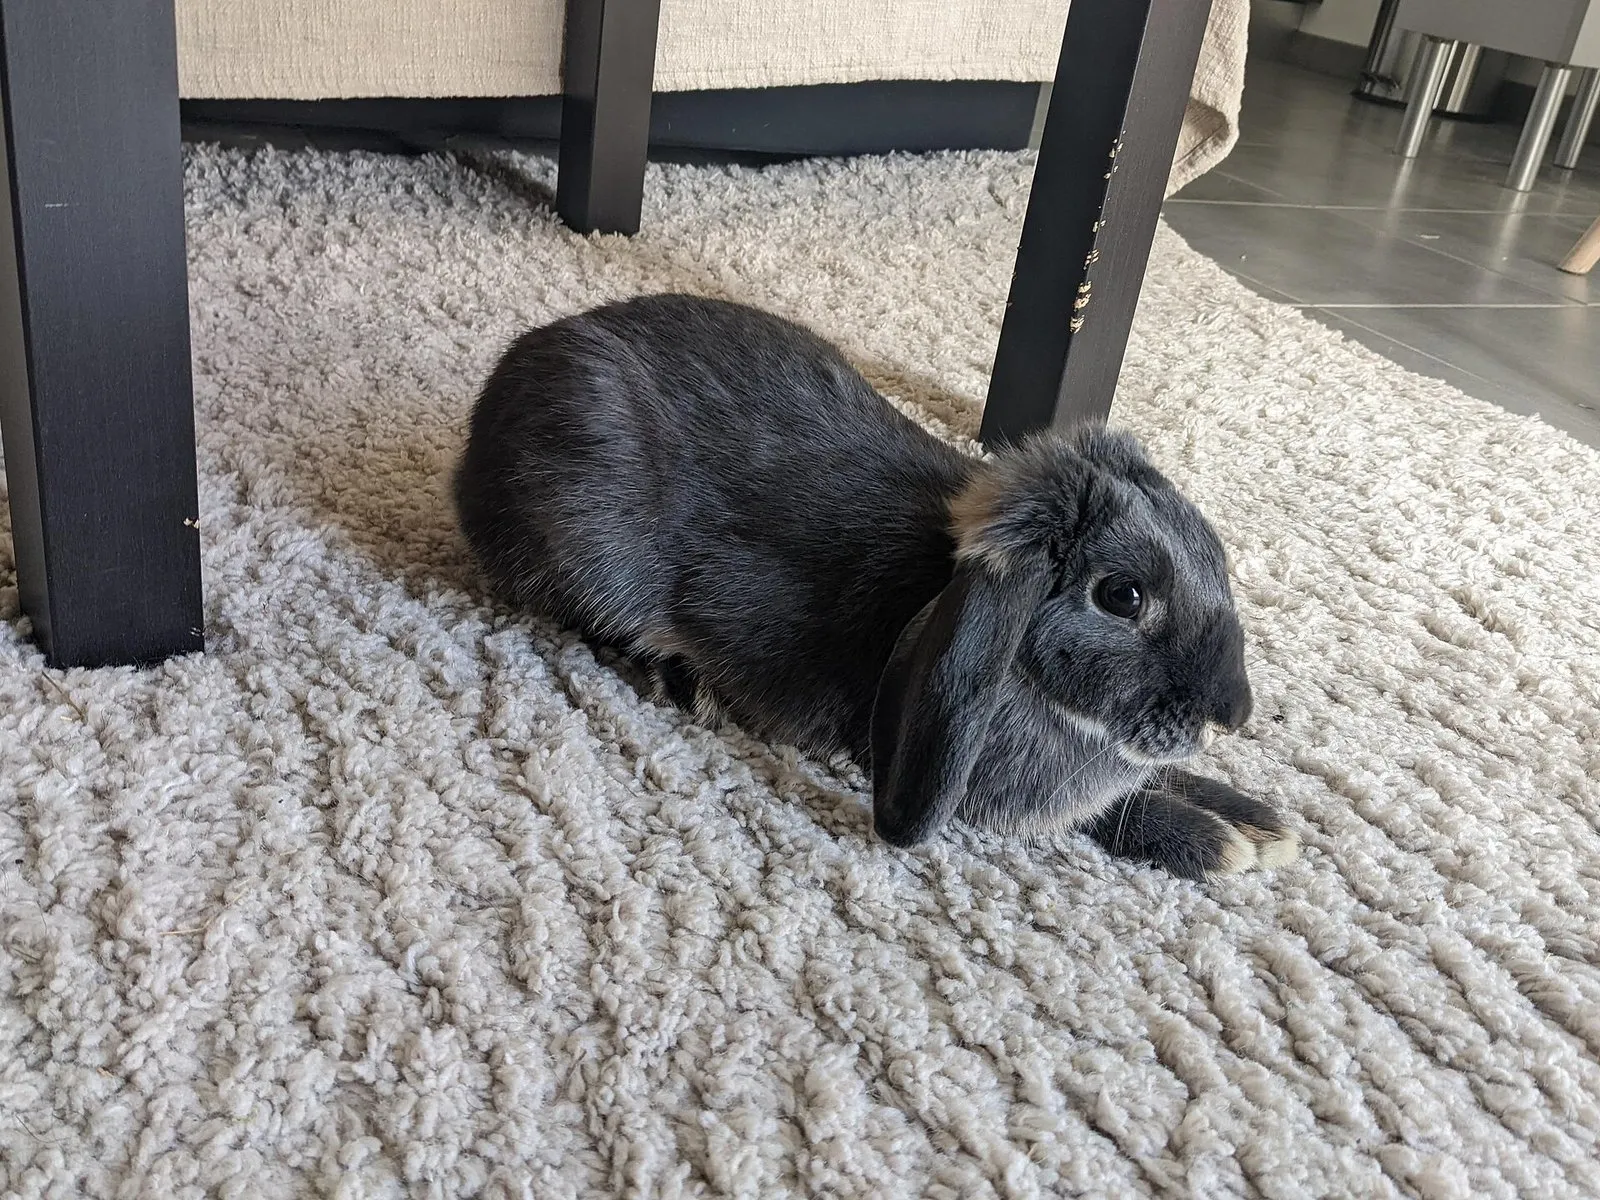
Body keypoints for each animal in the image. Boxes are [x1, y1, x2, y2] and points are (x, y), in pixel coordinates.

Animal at [454, 293, 1298, 879]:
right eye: (1123, 596)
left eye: (1214, 553)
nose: (1232, 711)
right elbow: (1101, 813)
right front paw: (1220, 845)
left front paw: (1262, 824)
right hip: (586, 536)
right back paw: (690, 683)